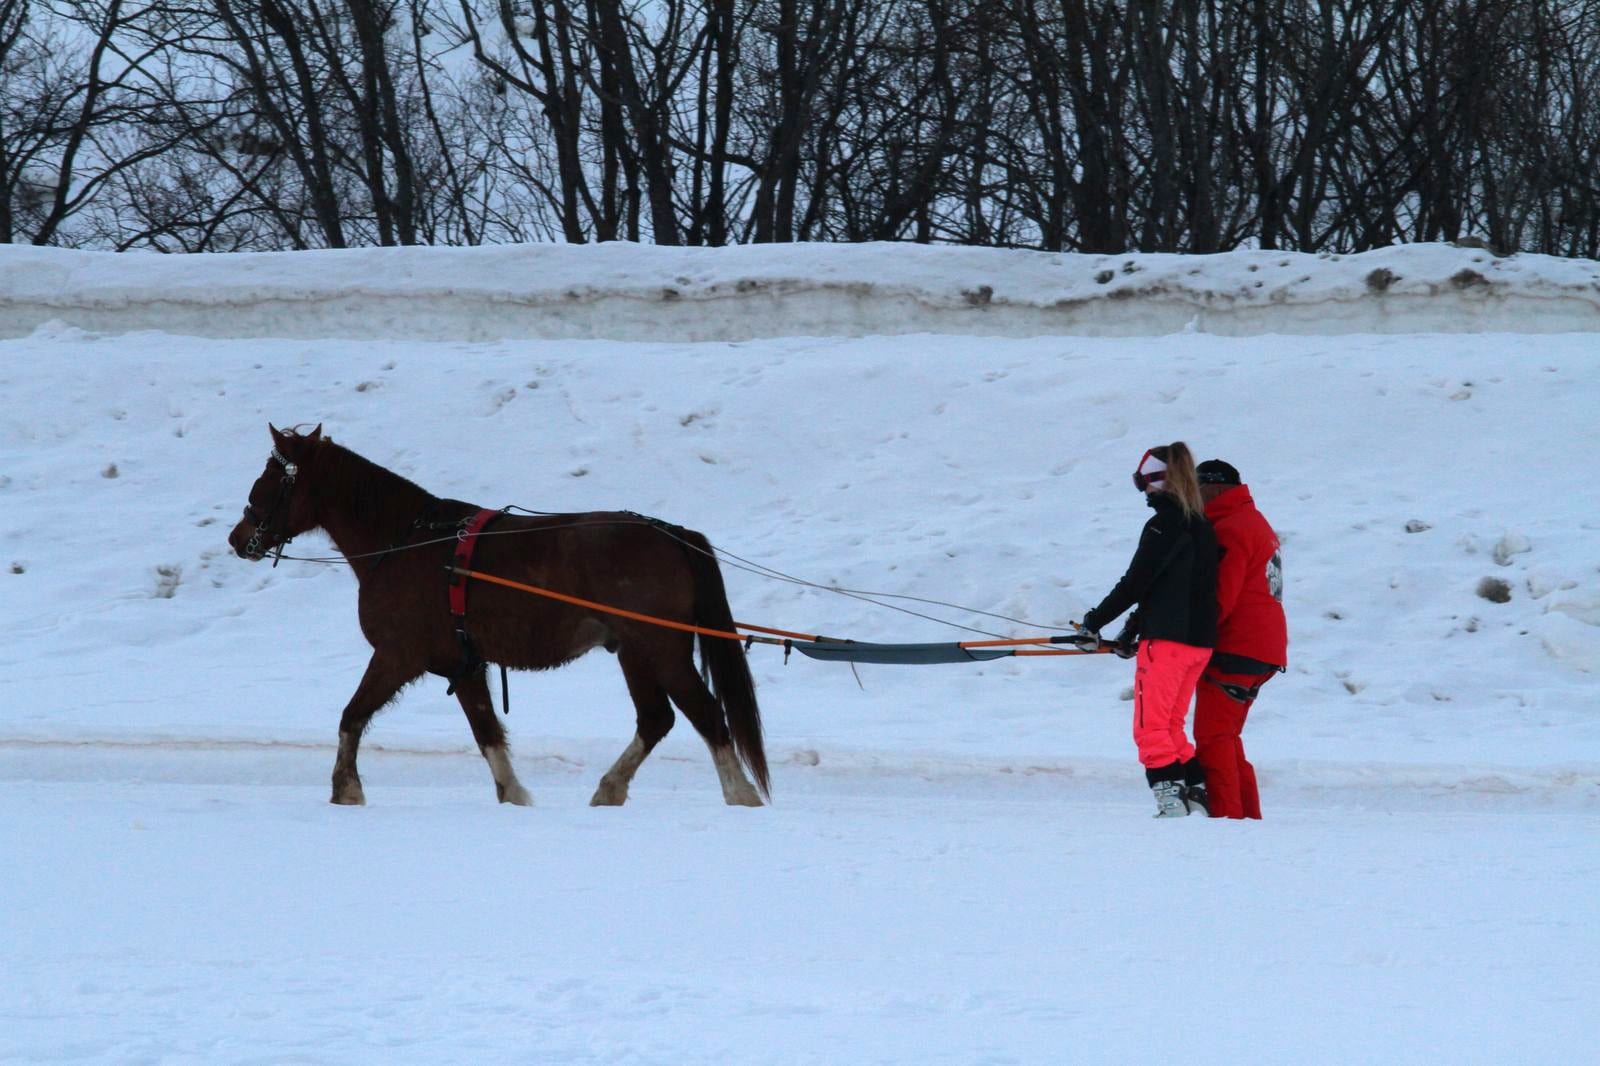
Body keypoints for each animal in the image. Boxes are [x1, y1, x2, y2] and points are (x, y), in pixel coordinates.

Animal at [230, 422, 768, 806]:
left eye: (271, 479)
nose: (239, 537)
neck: (408, 542)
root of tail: (671, 534)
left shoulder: (398, 655)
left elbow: (352, 715)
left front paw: (346, 789)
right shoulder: (463, 666)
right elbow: (487, 733)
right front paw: (514, 794)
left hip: (662, 648)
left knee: (706, 715)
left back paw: (739, 795)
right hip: (634, 652)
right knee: (656, 719)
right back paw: (611, 789)